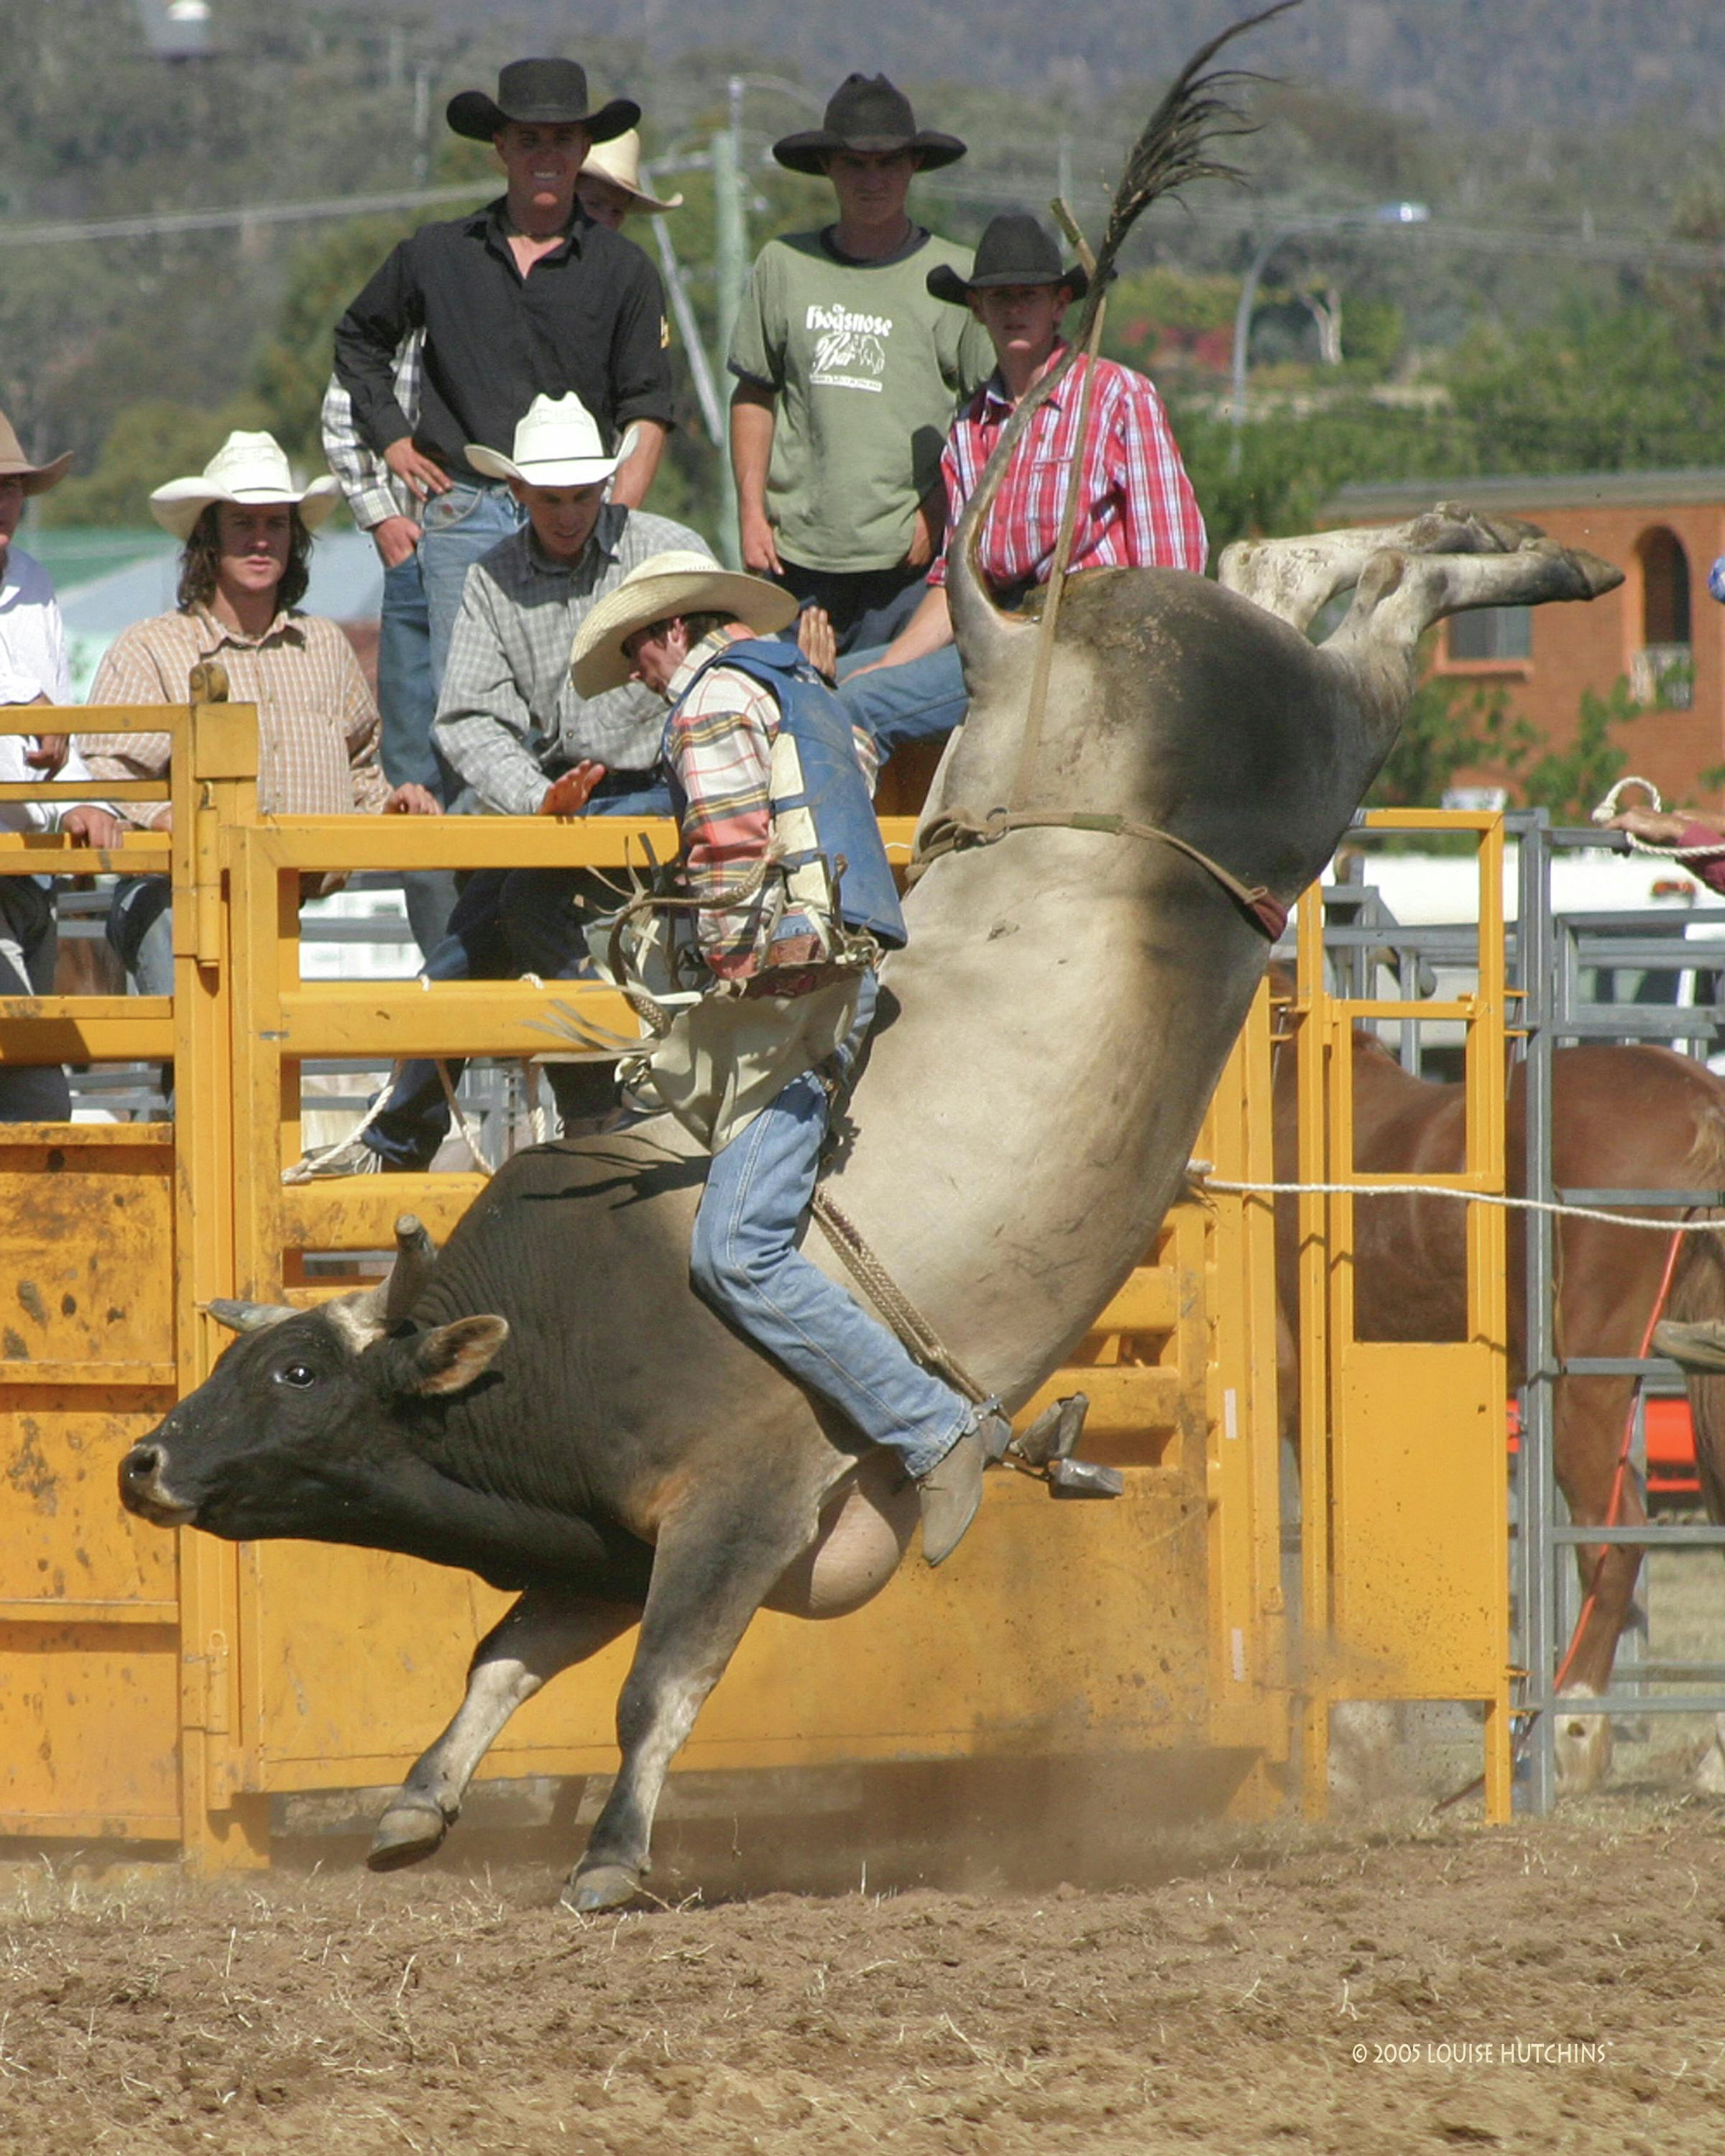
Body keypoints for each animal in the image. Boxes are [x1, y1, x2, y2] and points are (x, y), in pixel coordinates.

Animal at [114, 21, 1622, 1906]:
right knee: (1290, 563)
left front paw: (611, 1855)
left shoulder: (742, 1503)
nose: (144, 1460)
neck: (550, 1339)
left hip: (1308, 755)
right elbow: (504, 1661)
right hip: (1245, 675)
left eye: (296, 1370)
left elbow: (656, 1687)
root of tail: (1016, 635)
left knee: (1381, 621)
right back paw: (1492, 527)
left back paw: (1547, 551)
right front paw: (415, 1806)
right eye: (234, 1361)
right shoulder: (591, 1545)